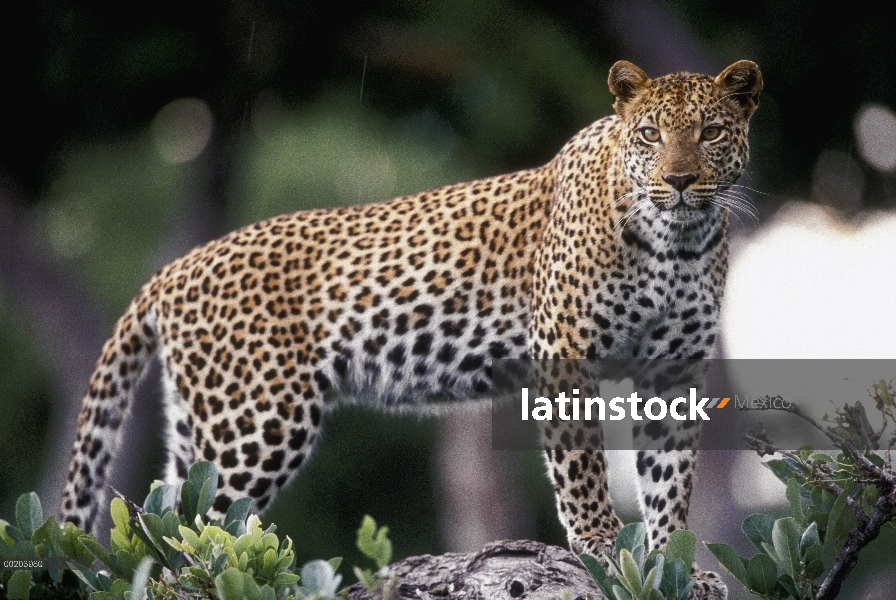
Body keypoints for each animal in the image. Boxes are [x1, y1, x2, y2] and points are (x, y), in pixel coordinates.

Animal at [63, 58, 764, 596]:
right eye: (648, 134)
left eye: (709, 132)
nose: (679, 179)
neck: (676, 243)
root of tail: (172, 269)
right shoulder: (564, 345)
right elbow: (582, 466)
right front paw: (600, 549)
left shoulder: (675, 370)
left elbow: (668, 478)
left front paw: (675, 564)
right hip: (256, 423)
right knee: (199, 532)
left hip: (200, 427)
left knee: (165, 520)